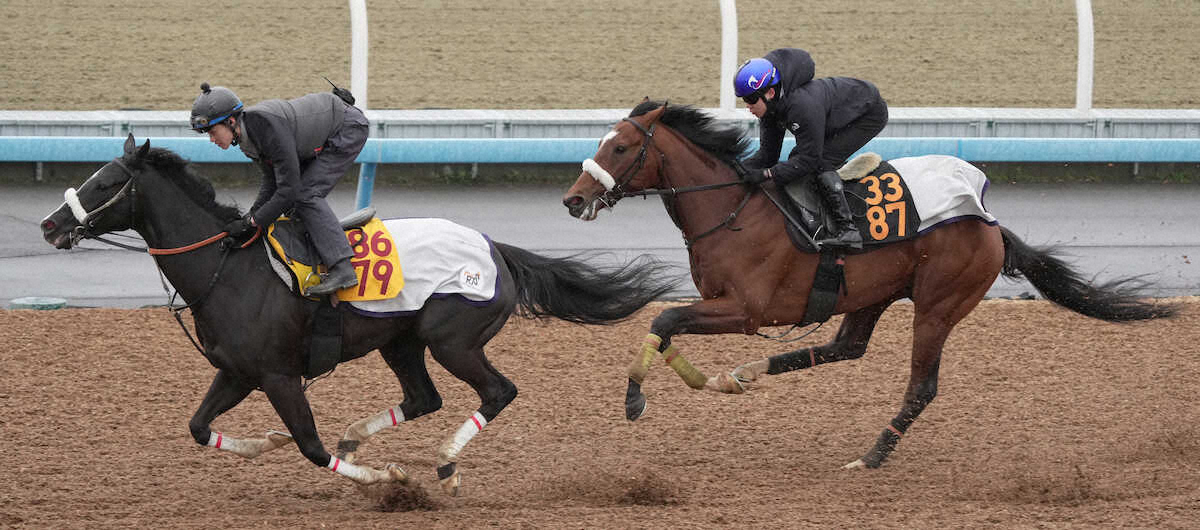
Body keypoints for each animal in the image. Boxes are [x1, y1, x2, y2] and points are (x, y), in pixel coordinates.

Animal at [39, 134, 679, 495]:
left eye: (105, 181)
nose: (49, 224)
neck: (229, 268)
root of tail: (494, 248)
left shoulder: (278, 375)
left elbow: (309, 446)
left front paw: (388, 480)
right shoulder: (238, 371)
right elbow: (199, 427)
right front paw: (266, 441)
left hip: (453, 340)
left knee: (498, 391)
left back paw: (443, 466)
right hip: (401, 341)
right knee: (424, 398)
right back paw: (361, 437)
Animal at [561, 101, 1178, 470]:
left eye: (619, 147)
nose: (572, 199)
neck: (732, 210)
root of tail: (990, 221)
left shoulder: (746, 309)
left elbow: (663, 318)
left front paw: (636, 399)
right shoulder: (733, 306)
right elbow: (667, 323)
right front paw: (704, 380)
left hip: (937, 305)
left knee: (921, 386)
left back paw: (873, 455)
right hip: (870, 294)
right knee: (846, 346)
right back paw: (743, 374)